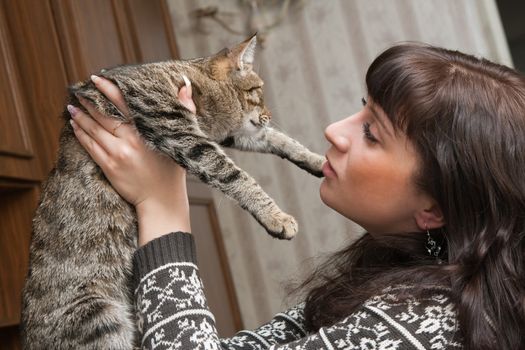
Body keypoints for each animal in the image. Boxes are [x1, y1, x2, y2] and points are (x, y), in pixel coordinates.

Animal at [20, 34, 324, 348]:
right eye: (259, 91)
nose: (268, 114)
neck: (193, 79)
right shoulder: (177, 129)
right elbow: (233, 174)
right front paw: (277, 217)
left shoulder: (227, 133)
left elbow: (278, 140)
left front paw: (318, 160)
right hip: (101, 319)